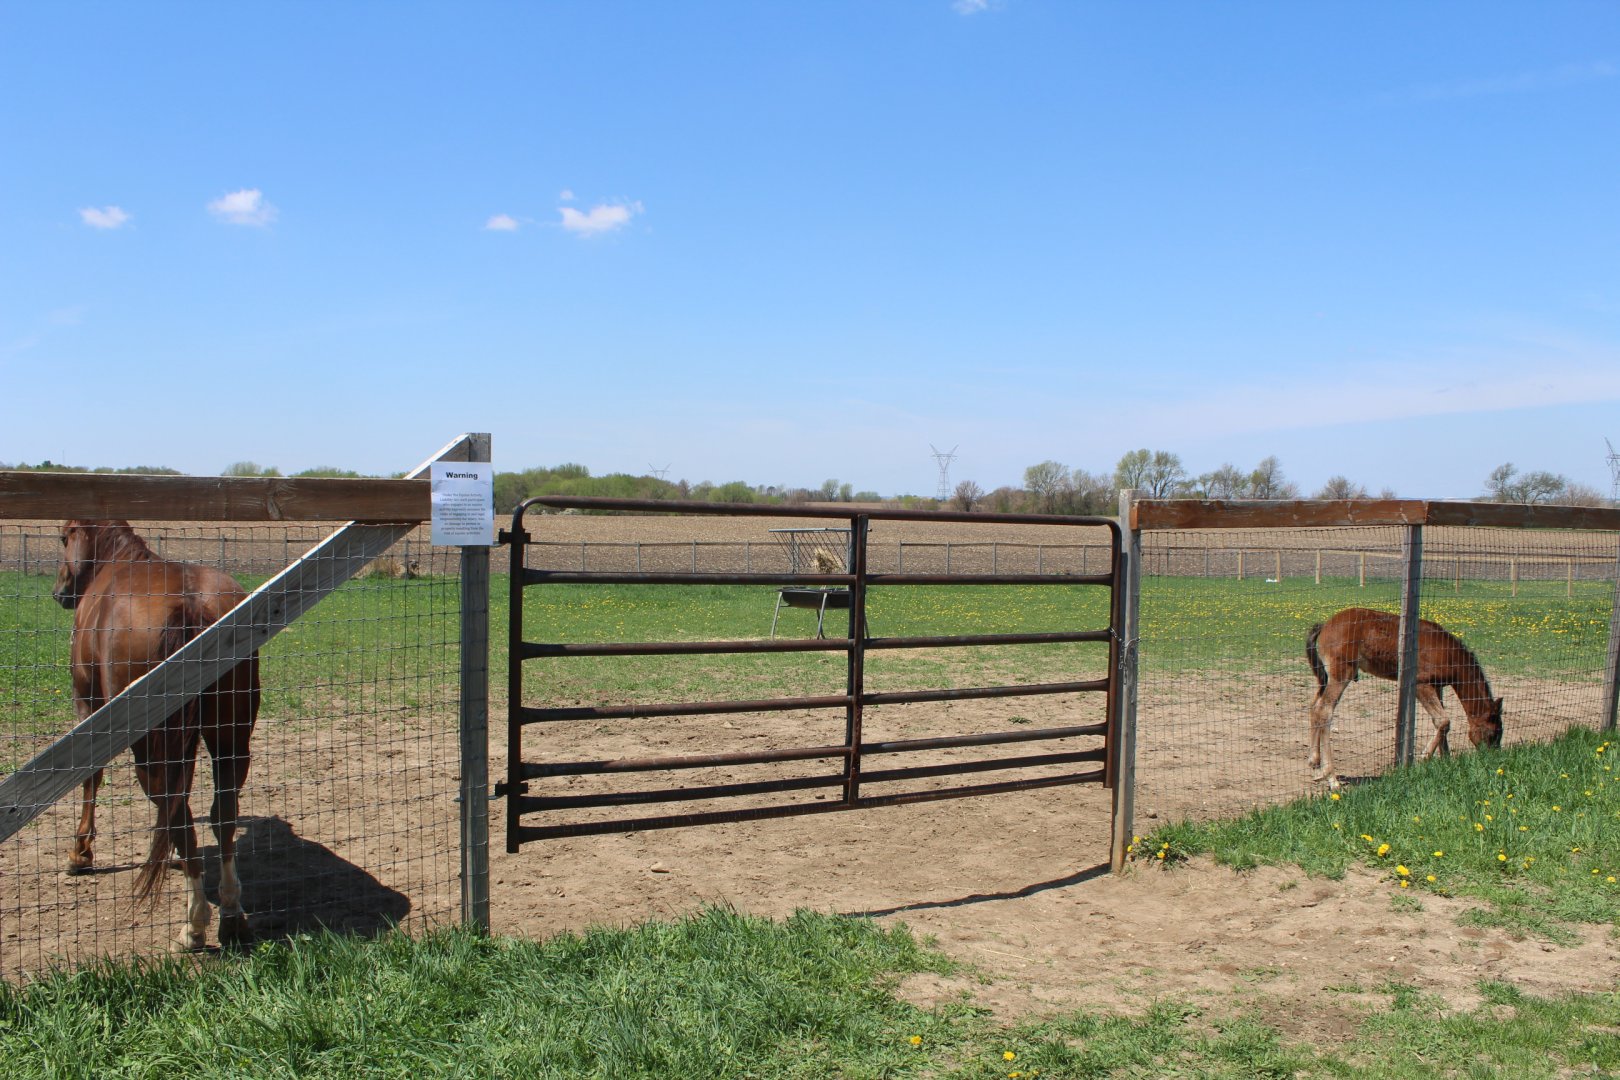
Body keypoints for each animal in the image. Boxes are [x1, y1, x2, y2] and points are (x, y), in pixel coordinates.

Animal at [53, 520, 260, 950]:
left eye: (64, 537)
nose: (60, 591)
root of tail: (191, 605)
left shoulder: (87, 704)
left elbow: (90, 777)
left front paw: (80, 854)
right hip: (231, 742)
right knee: (222, 817)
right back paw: (231, 916)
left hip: (151, 752)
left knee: (177, 816)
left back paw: (194, 927)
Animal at [1305, 607, 1503, 791]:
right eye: (1493, 733)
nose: (1492, 758)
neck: (1449, 653)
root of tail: (1326, 625)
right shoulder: (1421, 684)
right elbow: (1443, 720)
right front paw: (1424, 758)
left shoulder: (1437, 687)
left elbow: (1442, 725)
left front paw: (1446, 761)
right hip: (1341, 673)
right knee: (1324, 710)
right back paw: (1331, 778)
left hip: (1329, 677)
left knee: (1314, 706)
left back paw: (1315, 763)